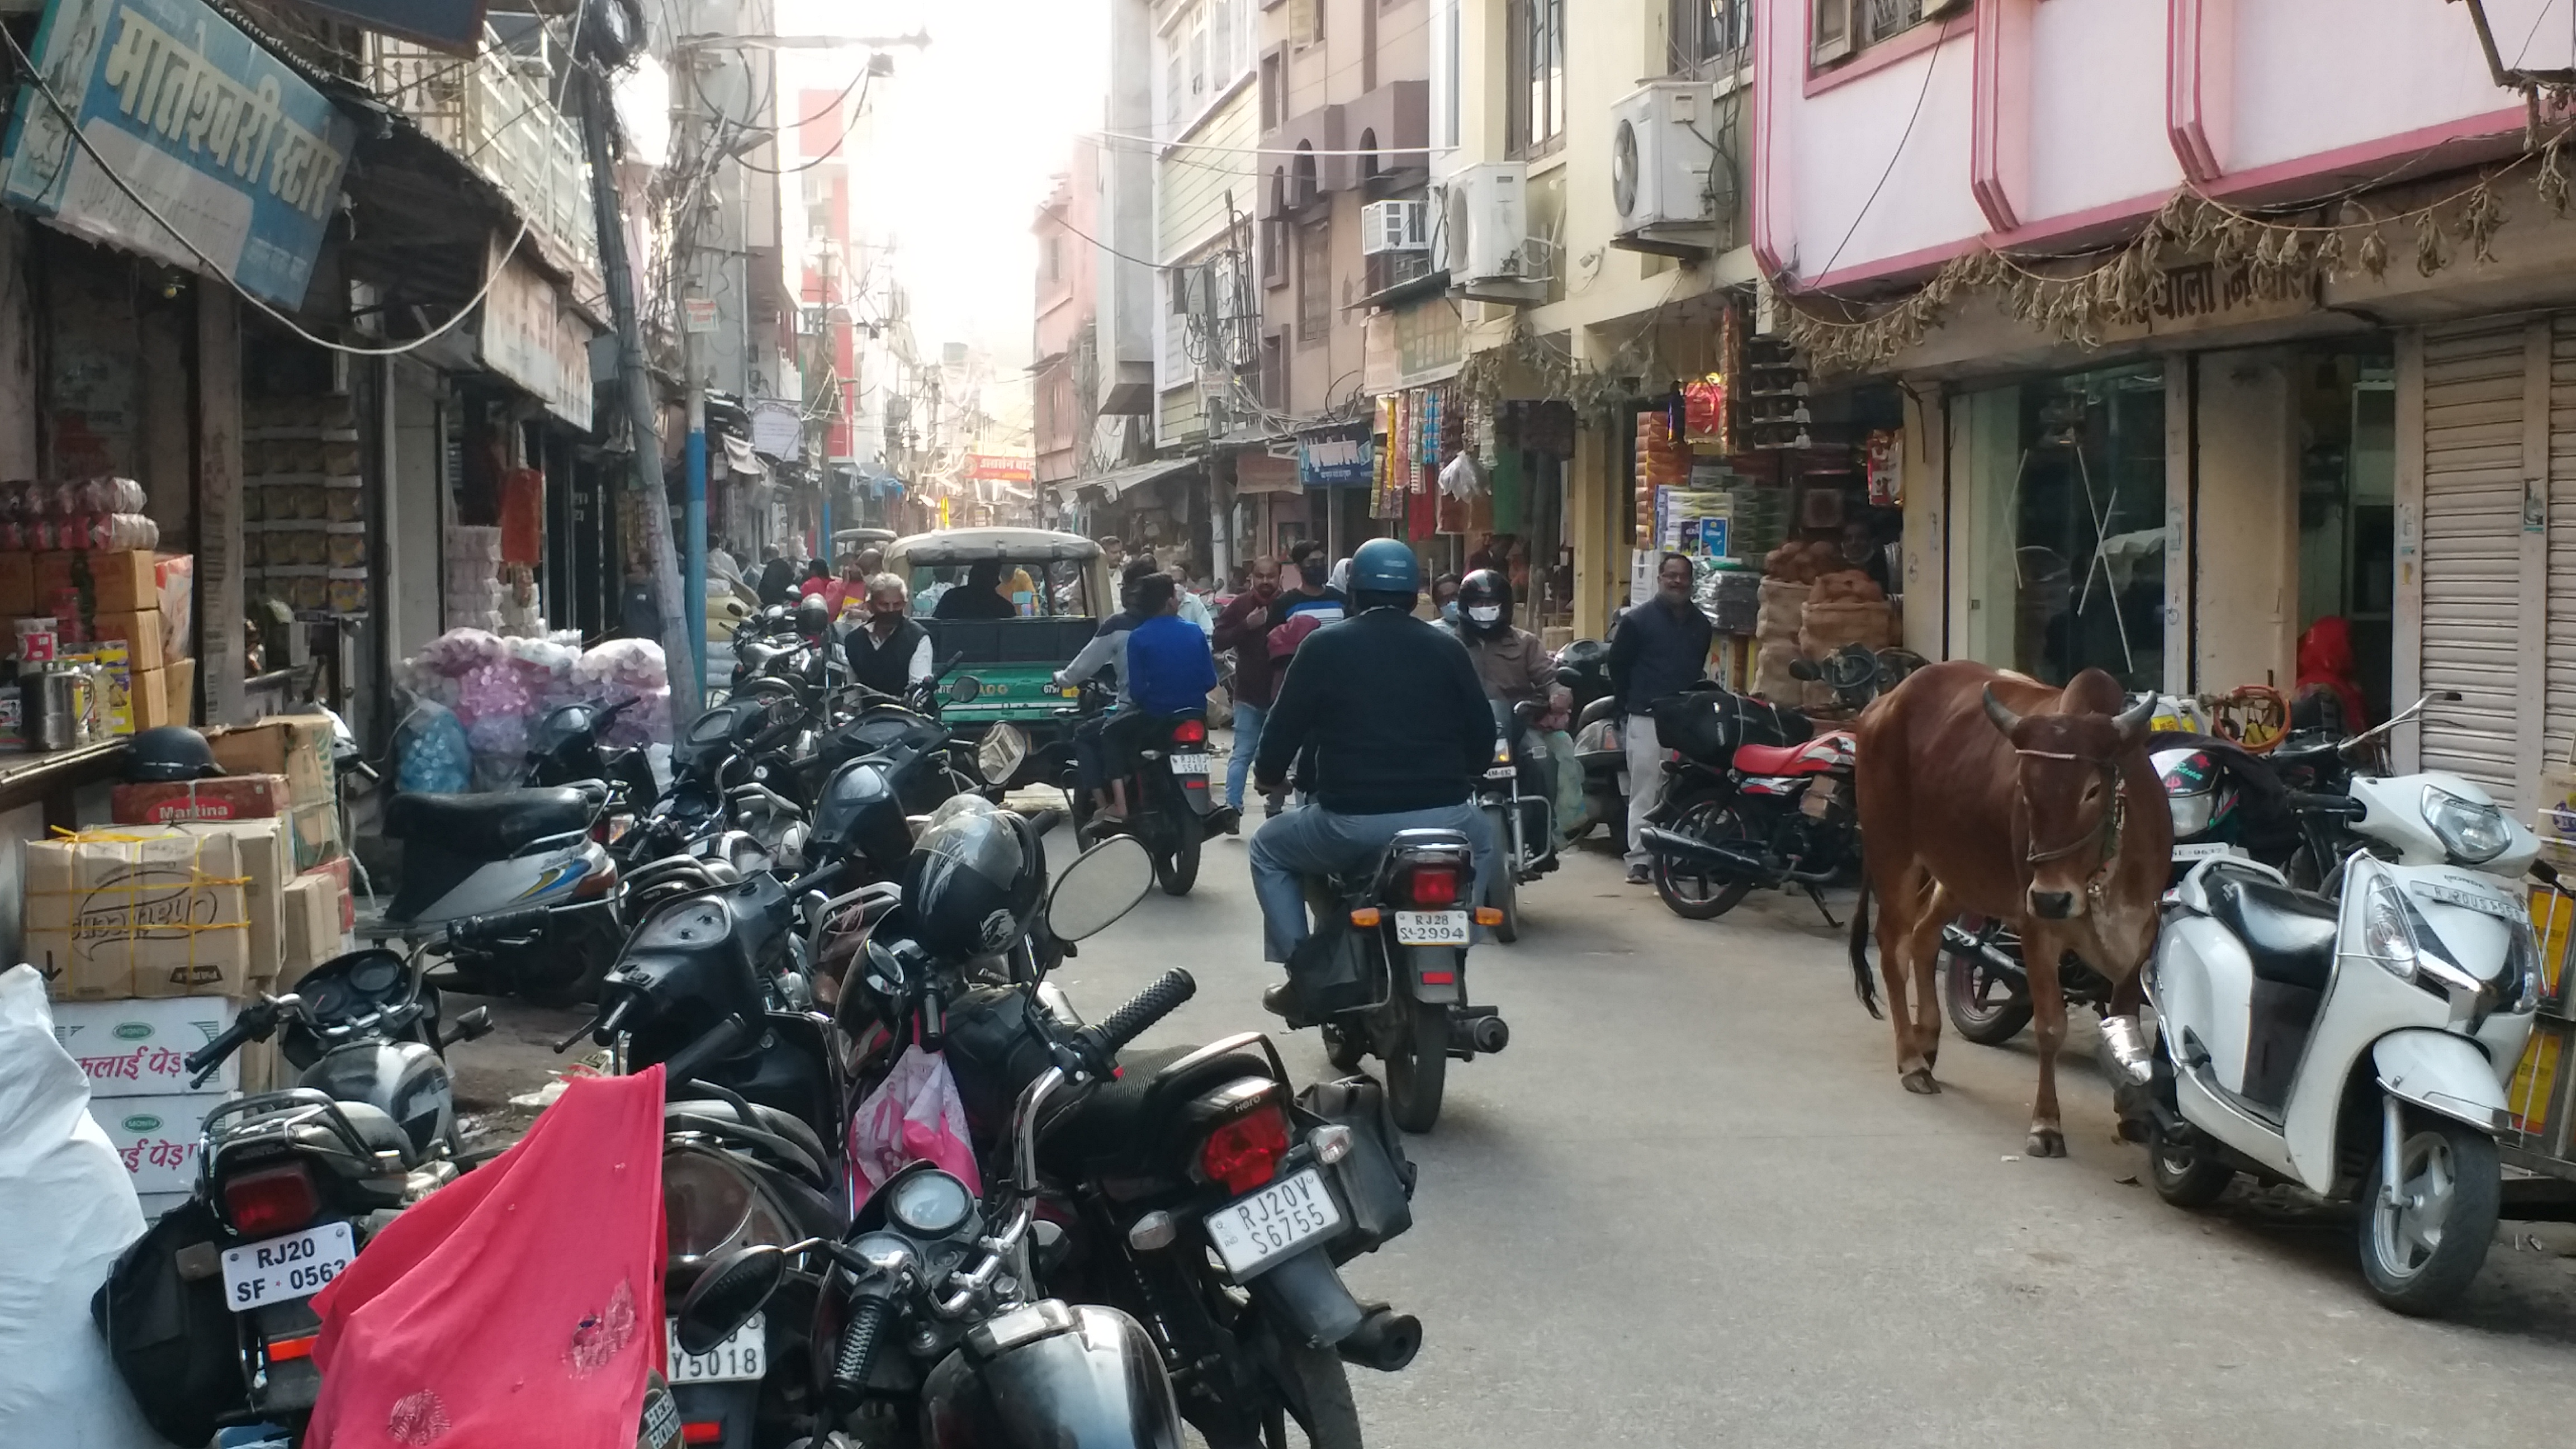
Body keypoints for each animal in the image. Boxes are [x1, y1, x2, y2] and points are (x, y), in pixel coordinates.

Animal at [1854, 665, 2174, 1149]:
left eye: (2092, 790)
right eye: (2024, 788)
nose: (2052, 897)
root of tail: (1885, 702)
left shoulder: (2141, 933)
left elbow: (2126, 1026)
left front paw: (2132, 1117)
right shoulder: (2036, 927)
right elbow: (2050, 1027)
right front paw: (2046, 1124)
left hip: (1960, 871)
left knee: (1926, 936)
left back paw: (1928, 1043)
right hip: (1892, 850)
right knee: (1894, 947)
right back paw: (1911, 1060)